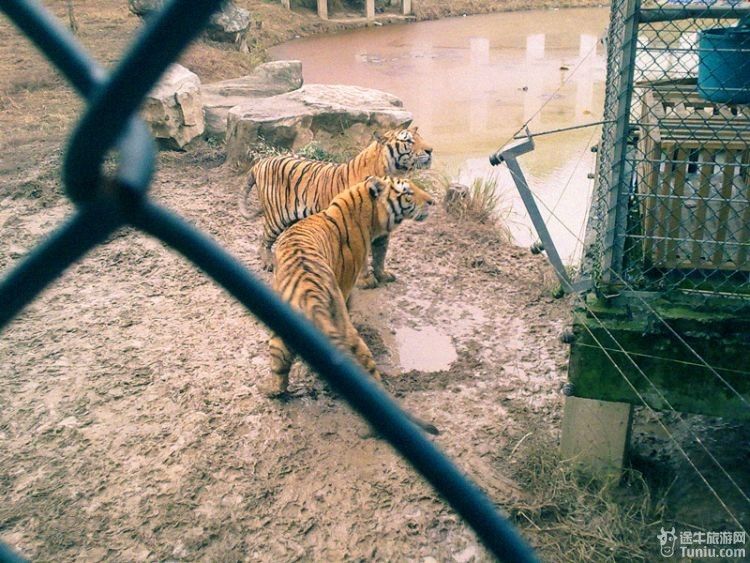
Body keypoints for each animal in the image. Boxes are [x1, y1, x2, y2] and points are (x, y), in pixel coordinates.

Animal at [245, 128, 434, 286]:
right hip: (277, 217)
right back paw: (268, 262)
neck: (391, 172)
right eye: (409, 141)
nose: (430, 150)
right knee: (264, 239)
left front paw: (382, 275)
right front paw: (366, 281)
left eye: (421, 138)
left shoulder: (384, 230)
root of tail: (261, 162)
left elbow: (380, 255)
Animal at [266, 176, 434, 400]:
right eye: (408, 192)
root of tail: (309, 295)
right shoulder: (346, 283)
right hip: (342, 327)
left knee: (279, 367)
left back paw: (273, 391)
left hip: (281, 332)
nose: (432, 201)